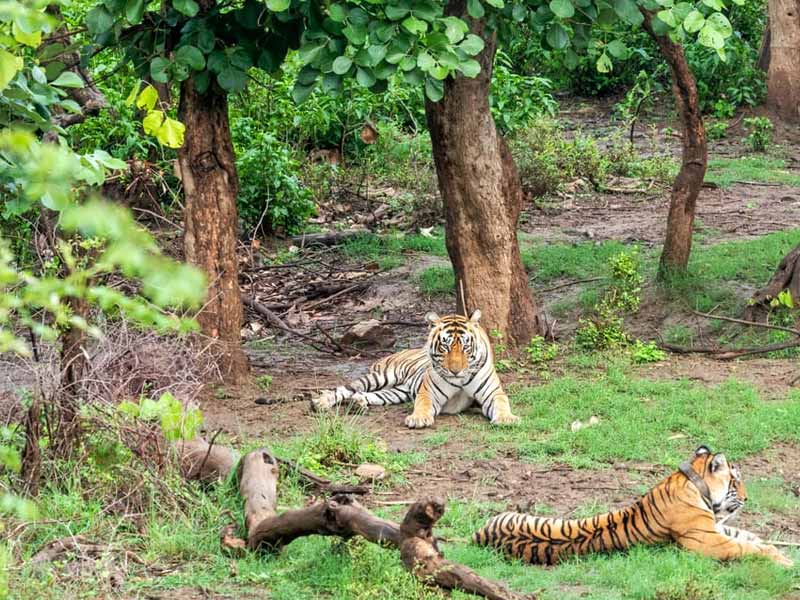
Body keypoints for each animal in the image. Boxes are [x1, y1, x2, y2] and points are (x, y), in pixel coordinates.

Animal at [310, 312, 520, 428]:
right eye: (445, 346)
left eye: (465, 347)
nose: (455, 371)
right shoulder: (428, 393)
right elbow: (423, 404)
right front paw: (418, 419)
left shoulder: (493, 393)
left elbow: (502, 403)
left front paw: (507, 418)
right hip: (381, 377)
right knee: (345, 389)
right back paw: (320, 402)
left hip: (398, 392)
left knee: (369, 395)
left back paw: (357, 403)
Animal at [476, 446, 792, 568]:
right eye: (736, 481)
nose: (747, 499)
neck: (691, 482)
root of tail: (479, 535)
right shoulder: (708, 541)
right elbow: (746, 547)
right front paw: (783, 560)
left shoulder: (715, 528)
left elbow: (748, 537)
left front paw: (776, 546)